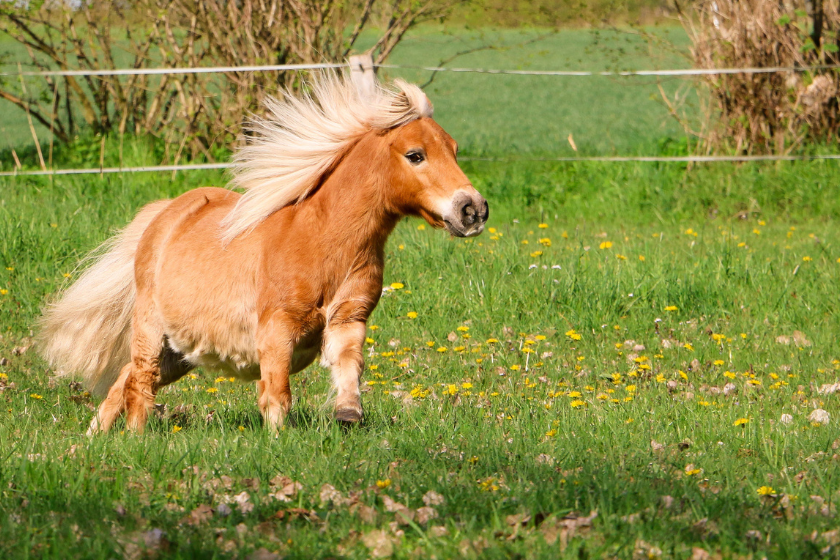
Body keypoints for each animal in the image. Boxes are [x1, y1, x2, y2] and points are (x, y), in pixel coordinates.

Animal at [41, 74, 486, 434]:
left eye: (454, 149)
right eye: (415, 155)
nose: (473, 210)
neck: (324, 243)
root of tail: (165, 214)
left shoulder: (349, 319)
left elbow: (349, 368)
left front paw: (348, 414)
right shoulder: (277, 330)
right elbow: (277, 394)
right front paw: (278, 442)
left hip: (179, 352)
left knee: (124, 380)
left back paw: (92, 441)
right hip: (151, 329)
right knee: (140, 384)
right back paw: (133, 440)